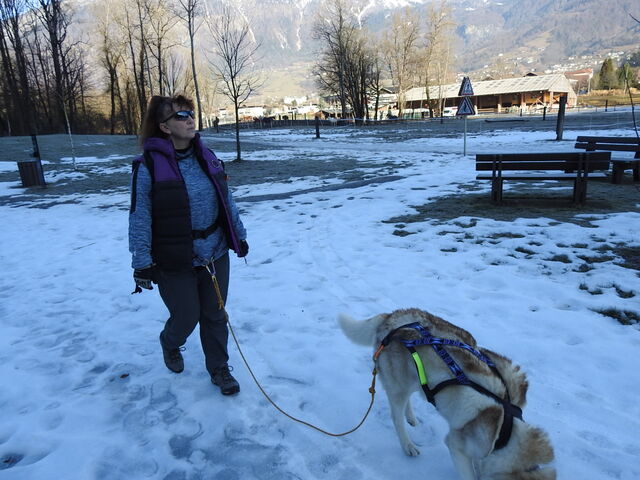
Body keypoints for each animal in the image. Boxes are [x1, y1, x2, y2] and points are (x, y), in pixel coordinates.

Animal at [340, 310, 556, 478]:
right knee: (396, 417)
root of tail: (391, 316)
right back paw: (408, 444)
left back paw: (412, 418)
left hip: (416, 377)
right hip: (399, 385)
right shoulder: (456, 445)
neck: (506, 430)